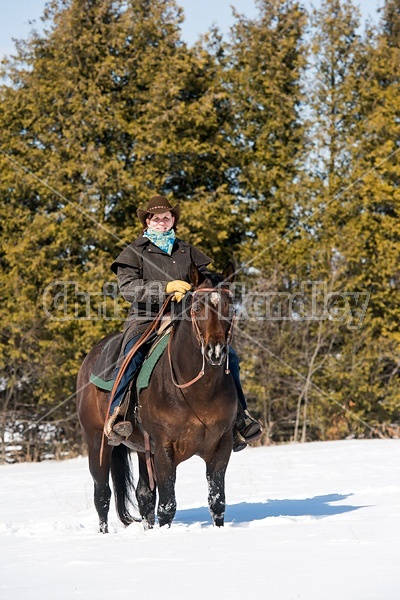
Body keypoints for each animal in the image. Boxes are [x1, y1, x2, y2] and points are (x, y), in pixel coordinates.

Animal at [76, 260, 238, 532]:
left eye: (230, 306)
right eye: (196, 308)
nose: (215, 351)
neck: (196, 393)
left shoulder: (221, 445)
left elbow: (217, 502)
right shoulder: (164, 449)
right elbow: (167, 506)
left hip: (143, 451)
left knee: (143, 495)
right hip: (97, 440)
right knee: (102, 495)